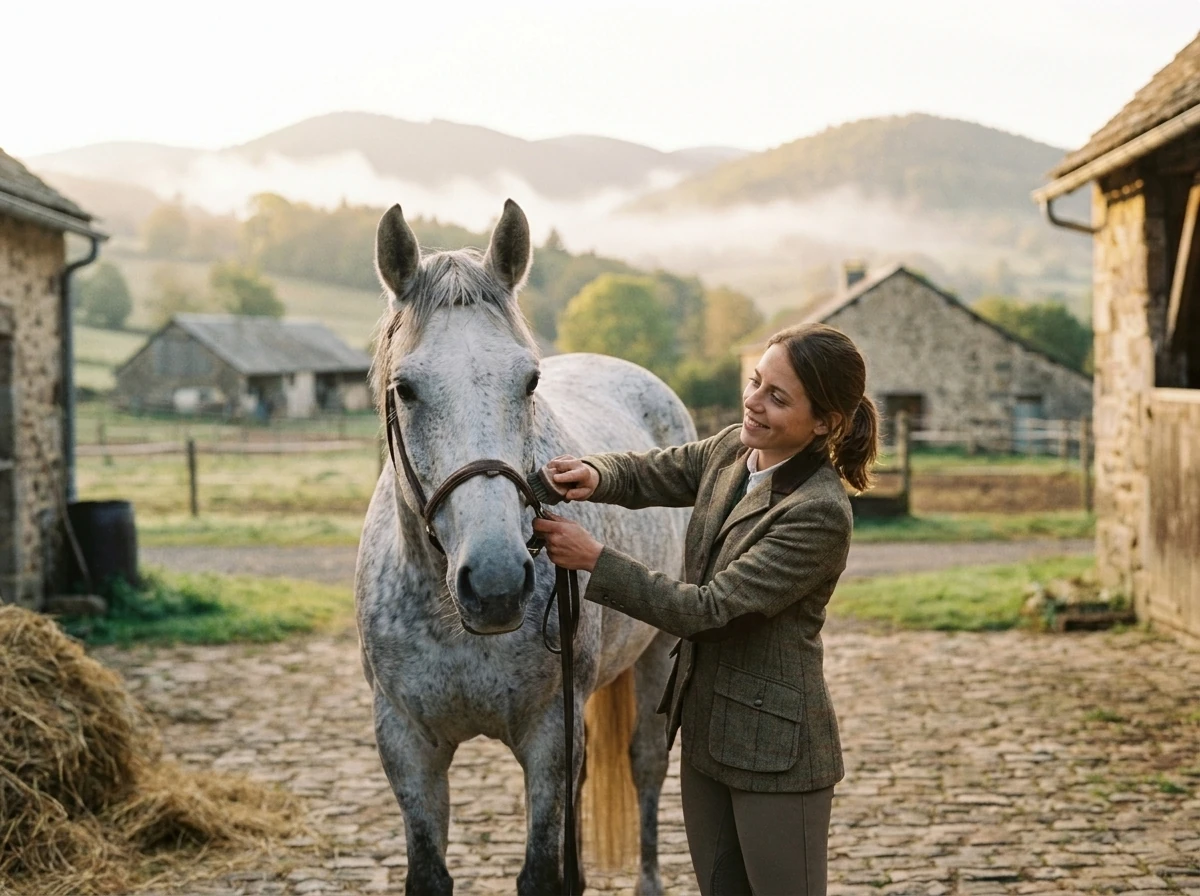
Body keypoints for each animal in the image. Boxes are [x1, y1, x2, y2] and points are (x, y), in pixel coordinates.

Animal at [354, 199, 695, 895]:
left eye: (530, 381)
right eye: (405, 388)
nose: (495, 584)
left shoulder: (547, 736)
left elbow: (542, 870)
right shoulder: (405, 742)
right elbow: (429, 871)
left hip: (656, 654)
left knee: (646, 765)